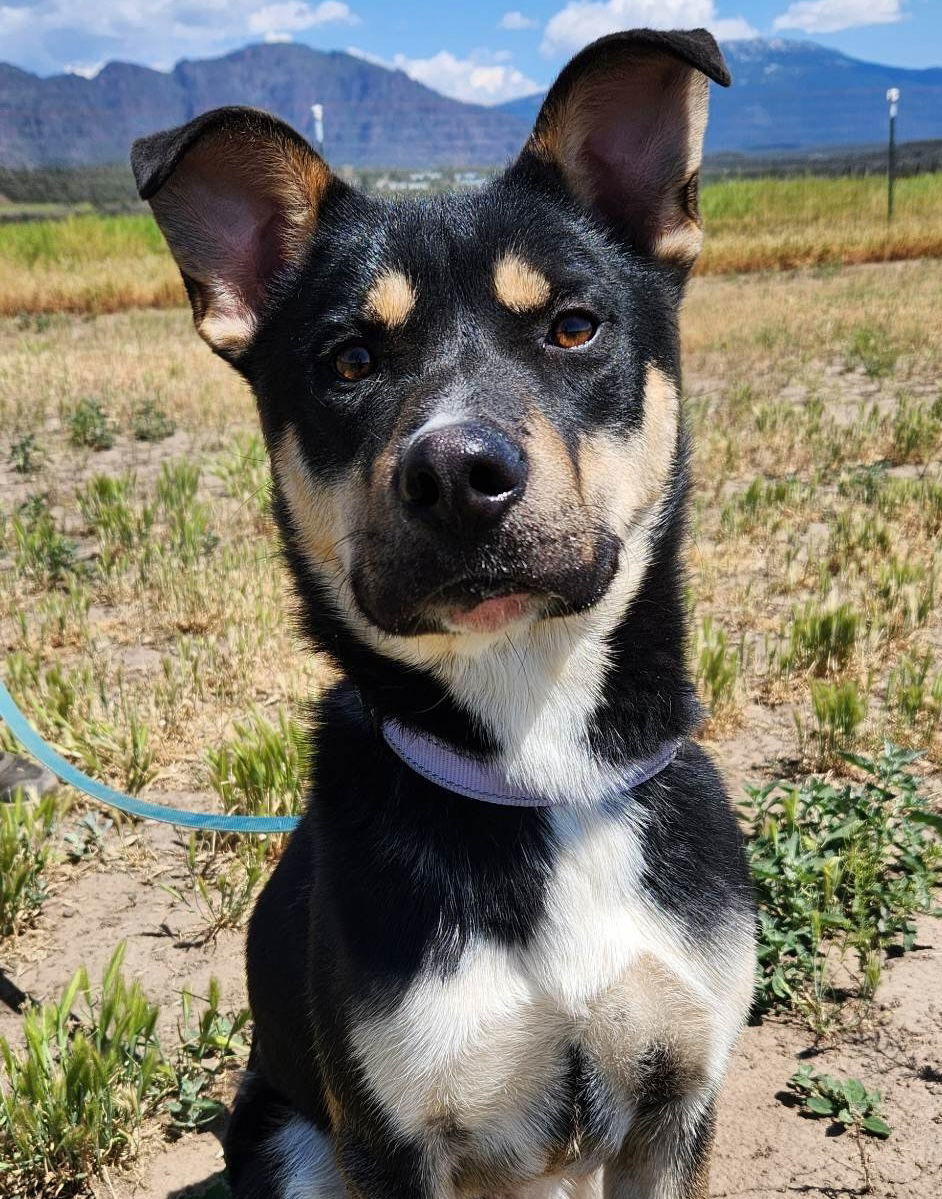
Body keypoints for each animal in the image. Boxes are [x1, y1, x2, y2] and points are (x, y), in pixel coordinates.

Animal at [131, 28, 757, 1199]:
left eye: (573, 326)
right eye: (348, 361)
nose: (458, 474)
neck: (541, 768)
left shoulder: (676, 1095)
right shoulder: (391, 1130)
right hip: (286, 1136)